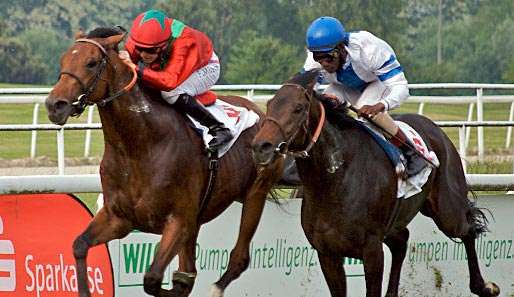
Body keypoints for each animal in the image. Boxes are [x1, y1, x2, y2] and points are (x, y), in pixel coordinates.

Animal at [43, 27, 282, 296]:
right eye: (63, 60)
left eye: (91, 63)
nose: (55, 105)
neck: (139, 147)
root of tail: (261, 113)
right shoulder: (119, 218)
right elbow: (79, 245)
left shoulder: (178, 220)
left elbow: (153, 278)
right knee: (189, 269)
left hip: (255, 193)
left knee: (238, 259)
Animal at [250, 70, 498, 296]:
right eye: (270, 105)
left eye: (298, 108)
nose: (261, 146)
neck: (335, 181)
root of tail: (435, 127)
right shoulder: (327, 253)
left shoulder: (371, 250)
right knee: (402, 241)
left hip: (446, 210)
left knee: (467, 230)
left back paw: (484, 286)